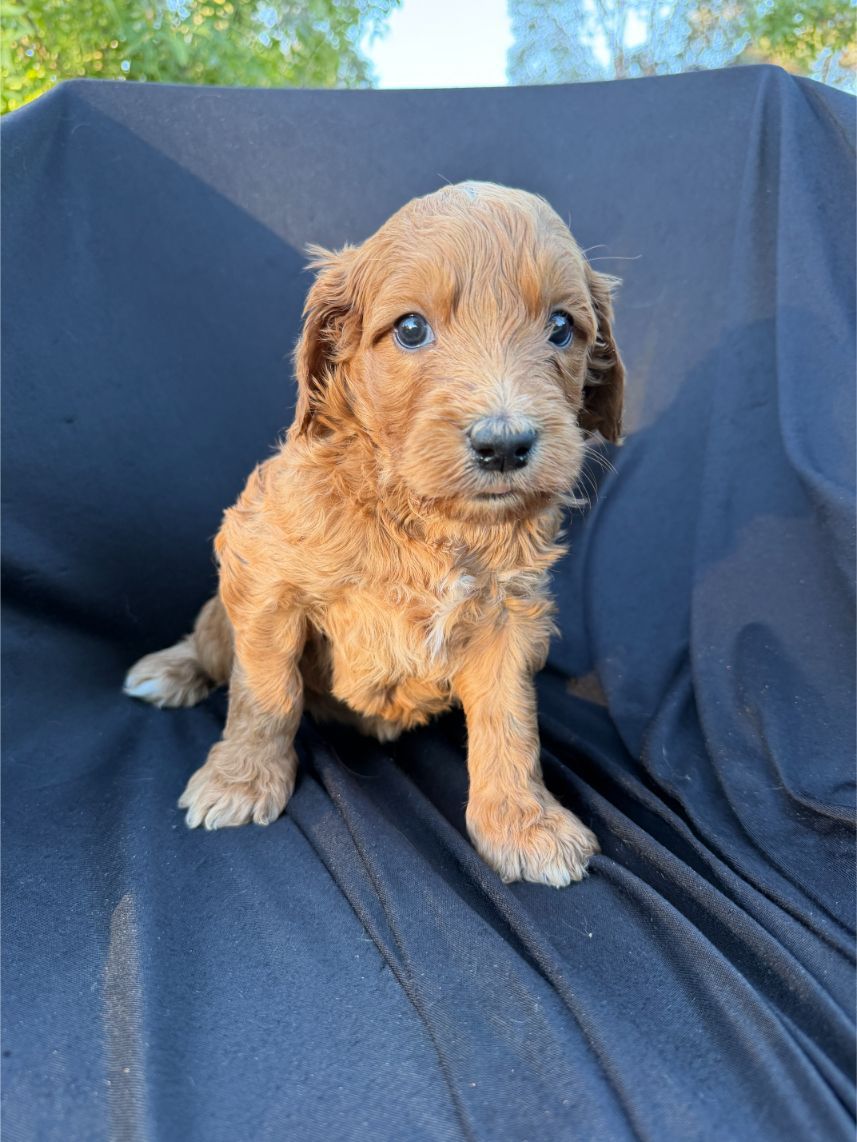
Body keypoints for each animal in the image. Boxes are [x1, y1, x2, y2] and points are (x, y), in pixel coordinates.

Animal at [124, 181, 625, 887]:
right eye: (411, 329)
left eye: (561, 328)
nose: (504, 445)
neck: (422, 514)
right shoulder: (264, 570)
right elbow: (264, 692)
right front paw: (242, 781)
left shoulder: (510, 613)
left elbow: (511, 721)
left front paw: (523, 823)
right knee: (213, 641)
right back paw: (172, 670)